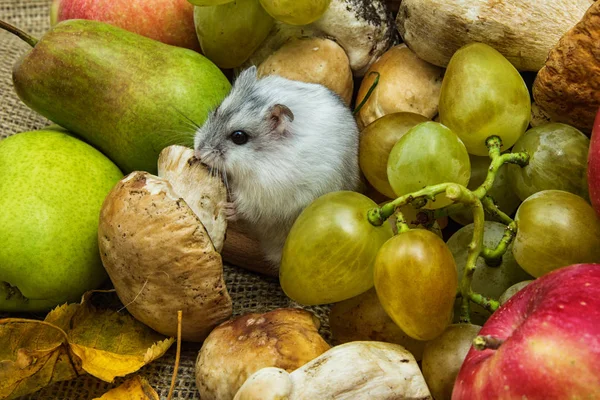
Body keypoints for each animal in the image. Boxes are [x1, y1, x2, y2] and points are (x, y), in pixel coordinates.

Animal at [195, 66, 358, 276]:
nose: (198, 152)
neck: (259, 161)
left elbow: (248, 208)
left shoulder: (269, 198)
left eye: (239, 137)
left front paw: (228, 209)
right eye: (216, 111)